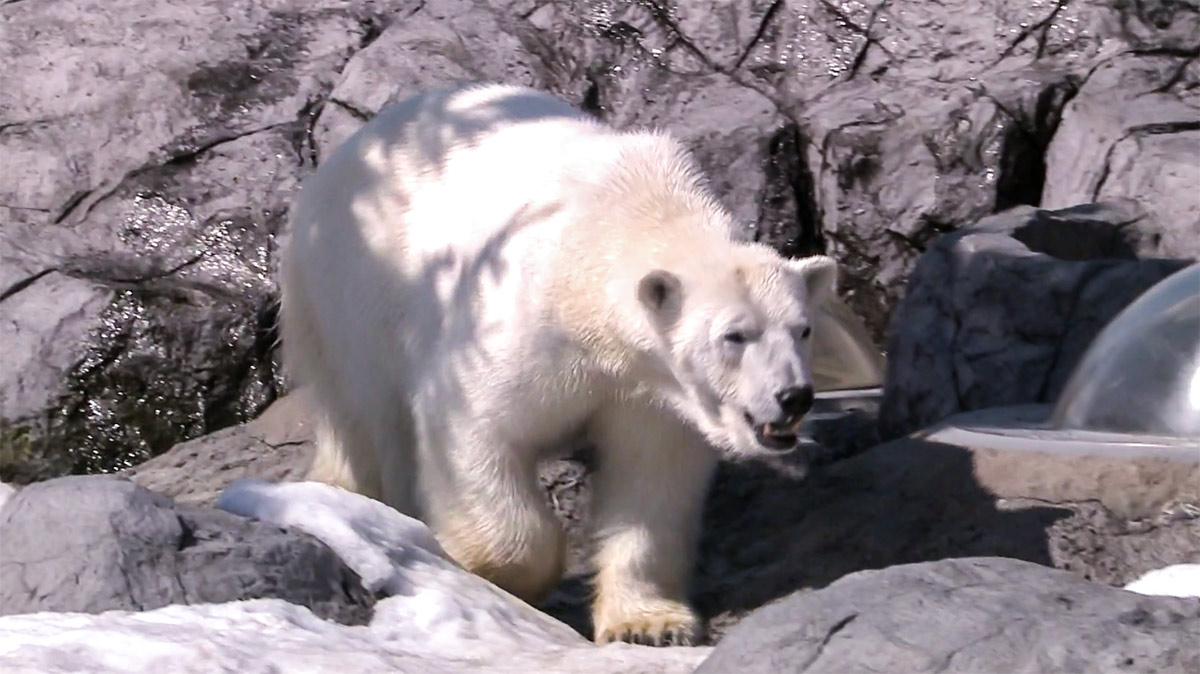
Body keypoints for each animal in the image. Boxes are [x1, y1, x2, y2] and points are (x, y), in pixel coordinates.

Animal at [278, 83, 835, 647]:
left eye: (802, 329)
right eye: (734, 335)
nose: (794, 397)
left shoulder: (652, 394)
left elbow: (652, 478)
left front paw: (649, 624)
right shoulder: (523, 325)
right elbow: (475, 425)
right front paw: (487, 567)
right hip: (354, 288)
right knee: (369, 420)